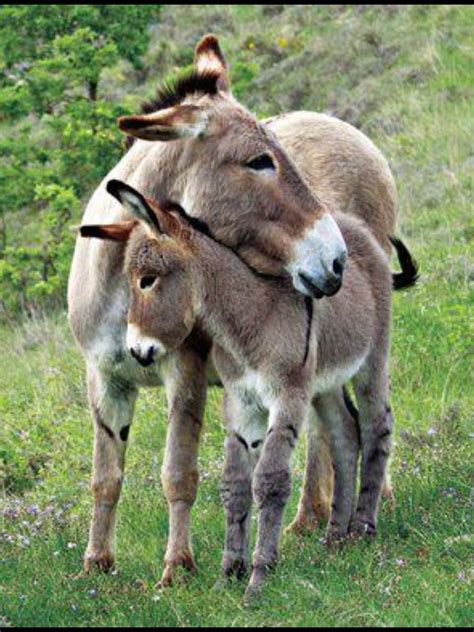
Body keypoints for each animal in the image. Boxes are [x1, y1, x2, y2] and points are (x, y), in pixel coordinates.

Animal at [81, 181, 418, 596]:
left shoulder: (287, 397)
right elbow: (235, 483)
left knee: (376, 426)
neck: (249, 319)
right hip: (325, 383)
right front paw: (229, 573)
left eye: (147, 279)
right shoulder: (242, 402)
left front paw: (259, 578)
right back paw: (335, 538)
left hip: (371, 360)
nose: (136, 352)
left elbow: (270, 480)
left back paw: (363, 527)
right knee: (344, 434)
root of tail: (353, 224)